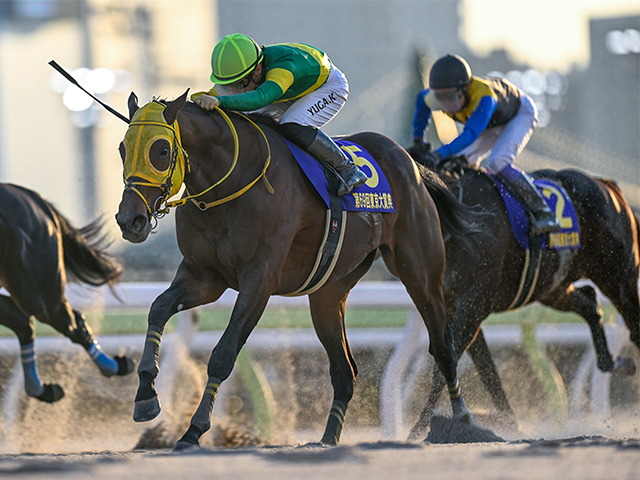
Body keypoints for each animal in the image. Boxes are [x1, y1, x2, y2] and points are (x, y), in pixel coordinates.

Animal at [0, 182, 134, 404]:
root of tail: (33, 196)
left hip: (37, 291)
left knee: (70, 322)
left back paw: (117, 365)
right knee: (24, 322)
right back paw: (43, 389)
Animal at [116, 90, 484, 450]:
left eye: (161, 149)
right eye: (122, 149)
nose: (129, 220)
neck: (229, 182)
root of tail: (411, 163)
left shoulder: (260, 279)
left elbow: (223, 353)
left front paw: (194, 430)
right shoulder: (204, 276)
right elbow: (158, 308)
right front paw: (146, 395)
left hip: (421, 275)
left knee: (444, 349)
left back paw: (462, 422)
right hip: (328, 293)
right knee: (344, 371)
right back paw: (327, 438)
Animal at [408, 160, 636, 438]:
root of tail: (608, 186)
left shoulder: (473, 303)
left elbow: (447, 362)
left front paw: (419, 429)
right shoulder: (454, 308)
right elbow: (486, 369)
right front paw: (509, 423)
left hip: (619, 277)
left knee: (633, 324)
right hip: (553, 287)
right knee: (590, 302)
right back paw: (615, 362)